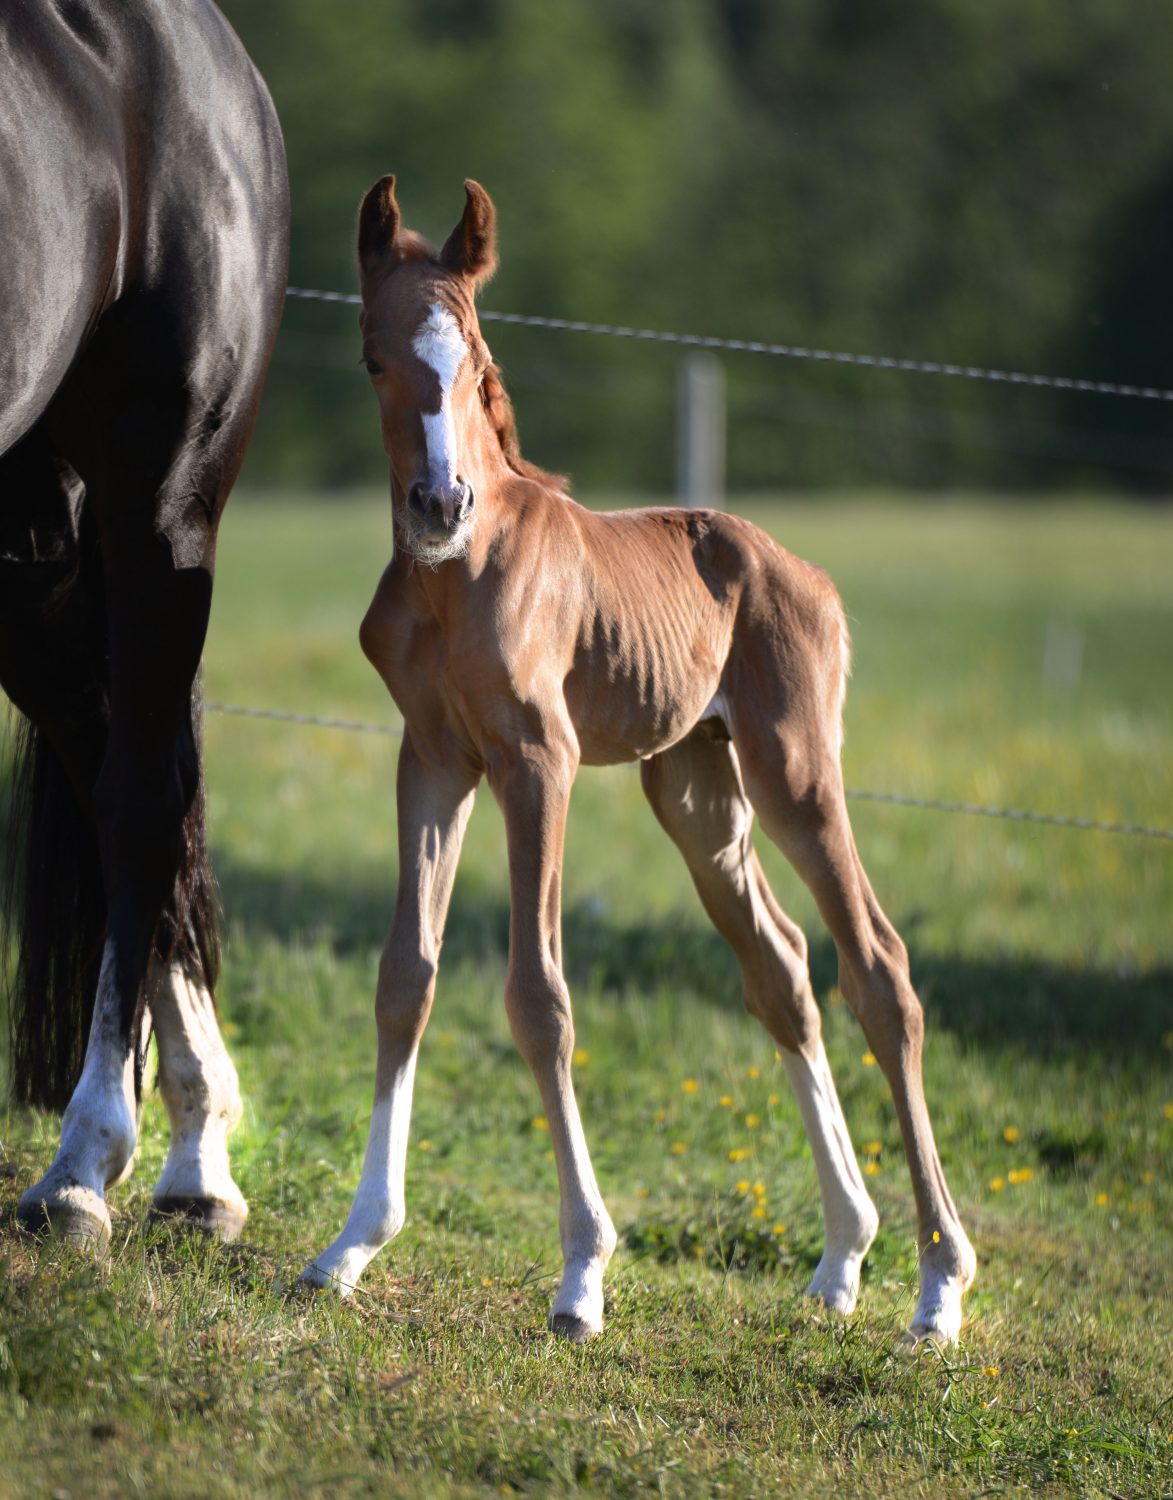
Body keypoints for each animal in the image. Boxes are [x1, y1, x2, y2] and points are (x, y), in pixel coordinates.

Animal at [298, 178, 978, 1350]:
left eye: (476, 359)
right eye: (374, 359)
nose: (438, 504)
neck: (455, 579)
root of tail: (810, 577)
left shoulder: (541, 762)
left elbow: (540, 996)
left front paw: (582, 1274)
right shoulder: (432, 759)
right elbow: (404, 979)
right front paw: (350, 1246)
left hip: (795, 772)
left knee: (879, 969)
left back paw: (939, 1287)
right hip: (698, 792)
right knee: (783, 969)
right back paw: (842, 1258)